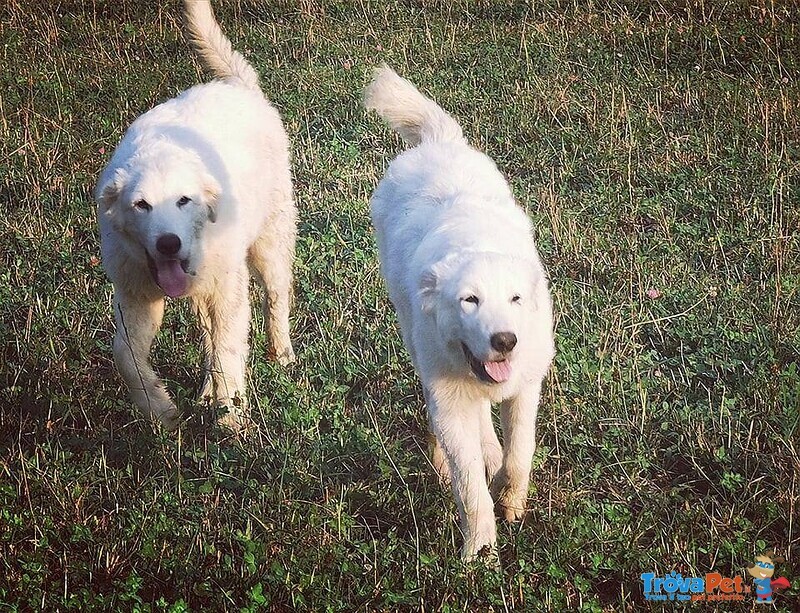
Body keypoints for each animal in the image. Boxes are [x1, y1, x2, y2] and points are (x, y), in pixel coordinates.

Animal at [94, 0, 294, 430]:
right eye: (142, 205)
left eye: (184, 200)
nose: (169, 243)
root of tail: (237, 86)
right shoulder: (135, 294)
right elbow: (126, 357)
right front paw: (161, 410)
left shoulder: (230, 290)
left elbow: (229, 350)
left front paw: (232, 417)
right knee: (207, 334)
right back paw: (205, 393)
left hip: (269, 241)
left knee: (275, 297)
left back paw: (282, 355)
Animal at [366, 67, 552, 560]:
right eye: (469, 300)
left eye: (515, 299)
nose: (505, 340)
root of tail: (438, 143)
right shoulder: (449, 398)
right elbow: (470, 485)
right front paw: (480, 552)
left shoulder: (526, 384)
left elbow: (521, 450)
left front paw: (511, 497)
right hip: (412, 333)